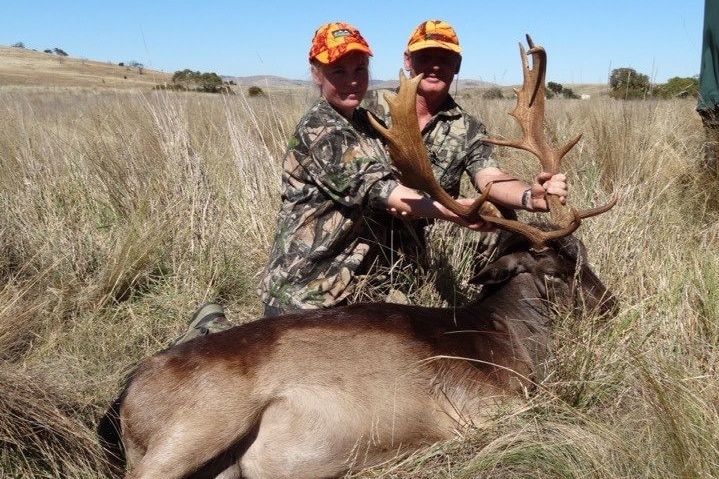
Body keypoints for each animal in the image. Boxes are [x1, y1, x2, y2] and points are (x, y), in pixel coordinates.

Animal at [97, 36, 620, 479]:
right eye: (559, 270)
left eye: (585, 255)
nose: (610, 307)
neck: (503, 335)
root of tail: (124, 398)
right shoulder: (480, 409)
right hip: (199, 423)